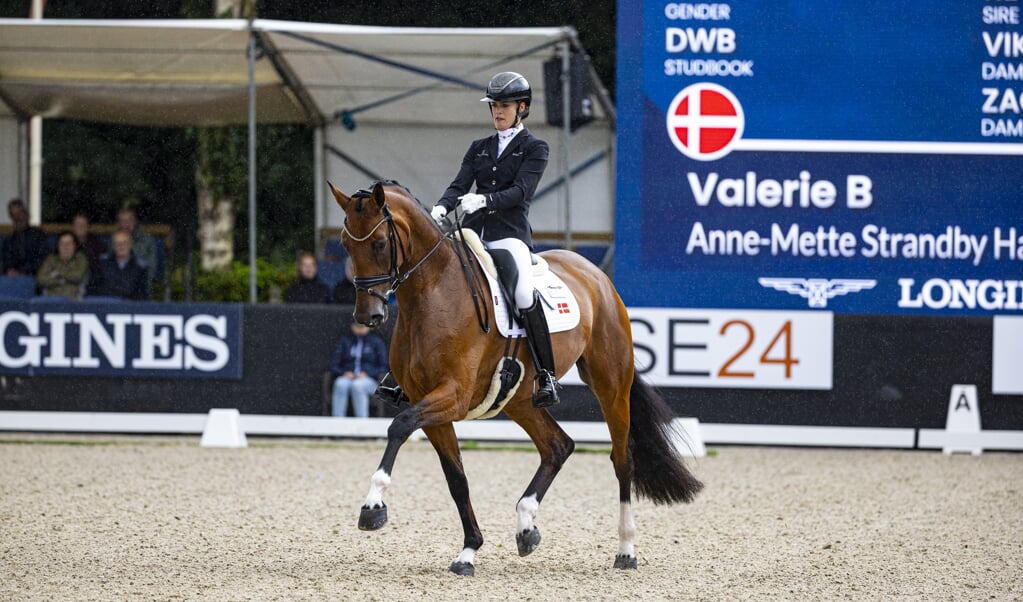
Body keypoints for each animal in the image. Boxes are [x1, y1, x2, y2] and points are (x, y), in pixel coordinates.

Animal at [331, 181, 699, 577]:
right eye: (345, 243)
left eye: (379, 243)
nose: (367, 316)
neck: (432, 293)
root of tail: (596, 274)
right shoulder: (428, 402)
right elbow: (456, 478)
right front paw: (469, 551)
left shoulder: (453, 396)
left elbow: (398, 426)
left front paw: (372, 506)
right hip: (521, 399)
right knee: (557, 446)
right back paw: (526, 526)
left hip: (611, 384)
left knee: (622, 460)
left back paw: (626, 550)